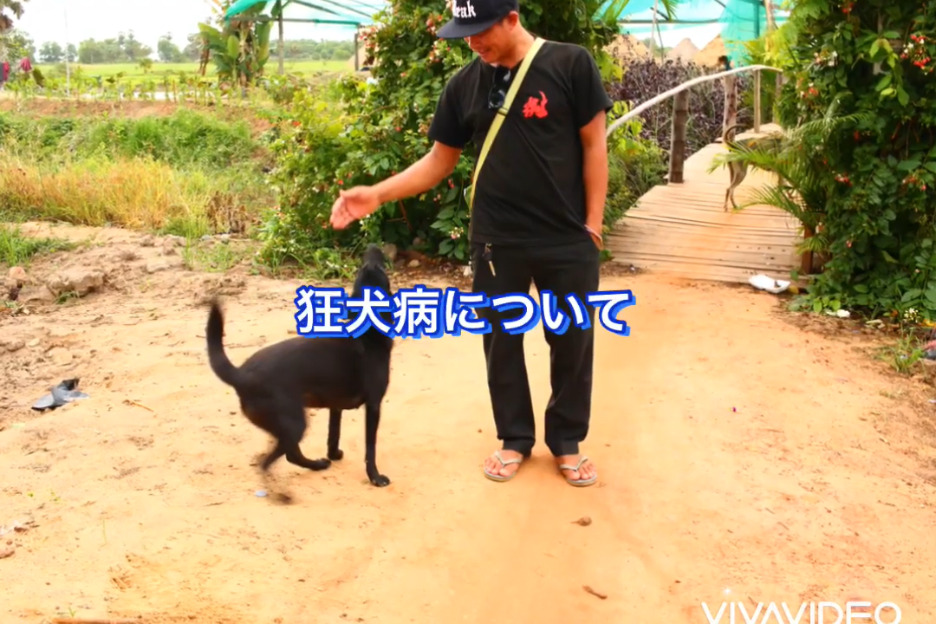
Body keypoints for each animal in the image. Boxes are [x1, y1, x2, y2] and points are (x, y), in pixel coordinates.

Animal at [205, 244, 395, 502]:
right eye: (376, 268)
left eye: (363, 268)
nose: (372, 246)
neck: (367, 330)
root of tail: (242, 375)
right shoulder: (374, 405)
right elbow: (370, 448)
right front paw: (375, 477)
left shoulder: (335, 406)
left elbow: (333, 434)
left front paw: (334, 454)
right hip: (294, 423)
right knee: (272, 461)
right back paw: (281, 494)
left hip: (287, 426)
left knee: (288, 455)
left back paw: (317, 465)